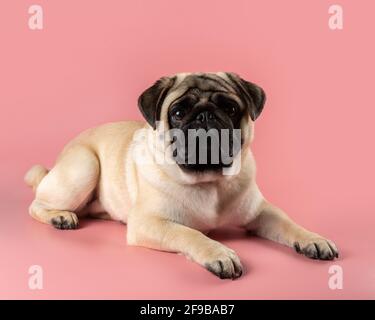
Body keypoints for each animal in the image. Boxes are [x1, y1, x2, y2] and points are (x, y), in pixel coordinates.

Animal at [25, 72, 340, 278]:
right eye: (178, 112)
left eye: (230, 108)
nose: (205, 115)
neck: (210, 181)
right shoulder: (150, 223)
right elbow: (189, 233)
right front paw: (219, 253)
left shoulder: (260, 212)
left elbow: (288, 223)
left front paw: (312, 239)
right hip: (84, 167)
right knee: (36, 204)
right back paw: (61, 216)